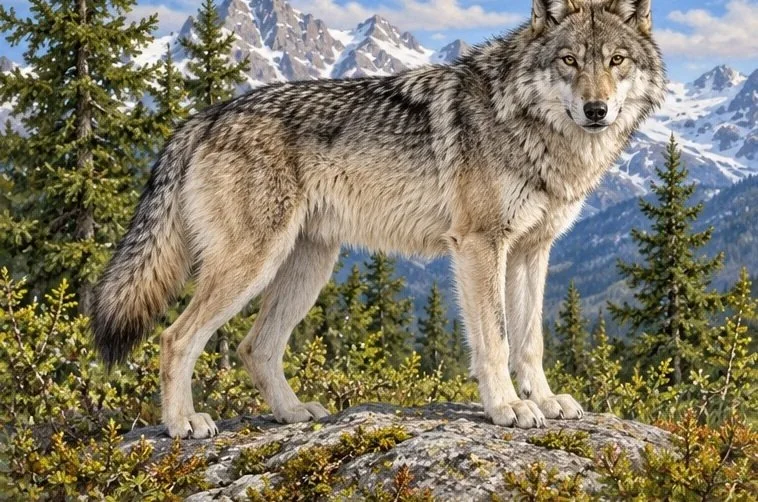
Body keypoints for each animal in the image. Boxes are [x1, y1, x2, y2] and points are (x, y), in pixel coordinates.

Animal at [92, 0, 666, 438]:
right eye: (569, 60)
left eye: (616, 61)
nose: (597, 110)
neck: (532, 126)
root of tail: (204, 117)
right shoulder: (480, 245)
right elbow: (496, 340)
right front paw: (507, 407)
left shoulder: (532, 250)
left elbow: (530, 341)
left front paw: (545, 401)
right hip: (252, 264)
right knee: (176, 338)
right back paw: (183, 424)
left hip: (308, 269)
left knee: (255, 347)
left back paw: (293, 413)